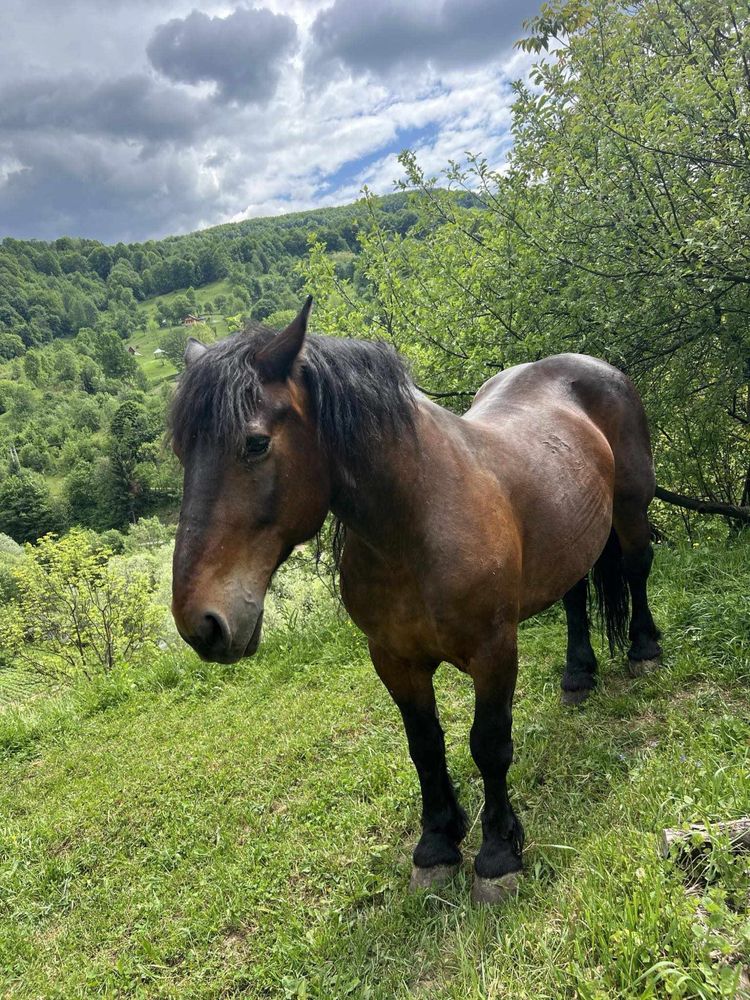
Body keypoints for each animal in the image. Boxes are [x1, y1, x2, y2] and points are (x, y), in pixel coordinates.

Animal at [170, 296, 664, 908]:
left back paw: (644, 651)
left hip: (632, 508)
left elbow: (488, 744)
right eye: (182, 451)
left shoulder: (494, 652)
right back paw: (578, 676)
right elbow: (424, 746)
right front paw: (436, 846)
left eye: (256, 443)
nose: (201, 623)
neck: (418, 523)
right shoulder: (394, 658)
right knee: (574, 598)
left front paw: (497, 856)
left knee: (637, 569)